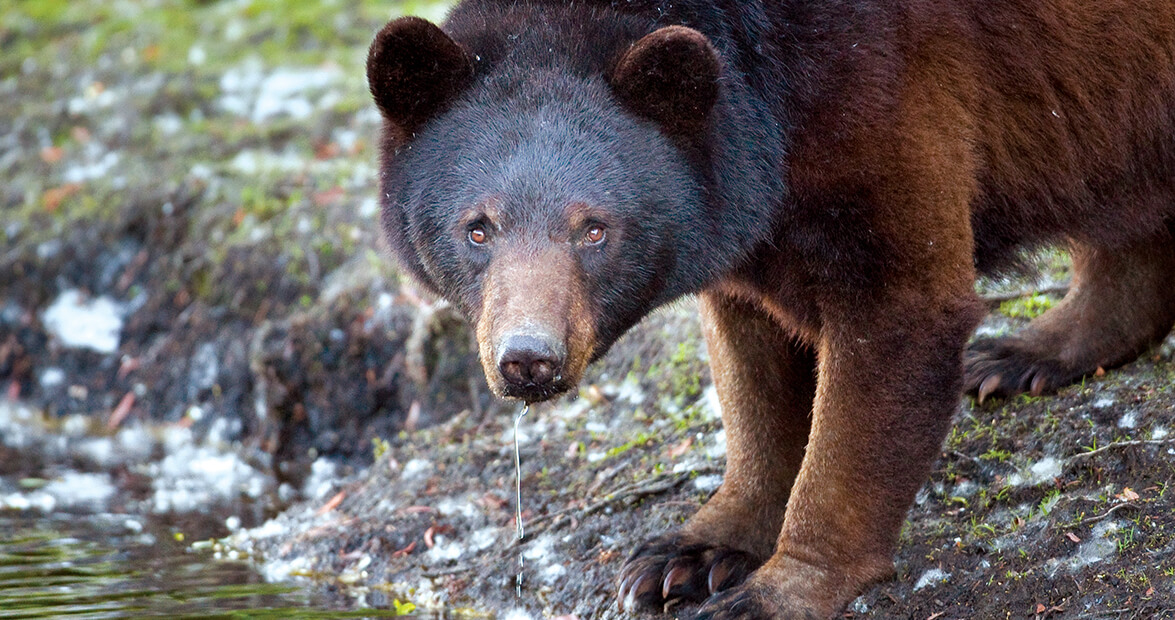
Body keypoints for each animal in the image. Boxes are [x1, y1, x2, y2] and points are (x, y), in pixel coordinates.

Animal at [365, 1, 1175, 617]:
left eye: (594, 228)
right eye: (477, 227)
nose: (528, 359)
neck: (769, 93)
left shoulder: (883, 90)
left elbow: (897, 318)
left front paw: (775, 589)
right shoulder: (742, 211)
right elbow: (753, 367)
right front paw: (692, 550)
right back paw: (1030, 351)